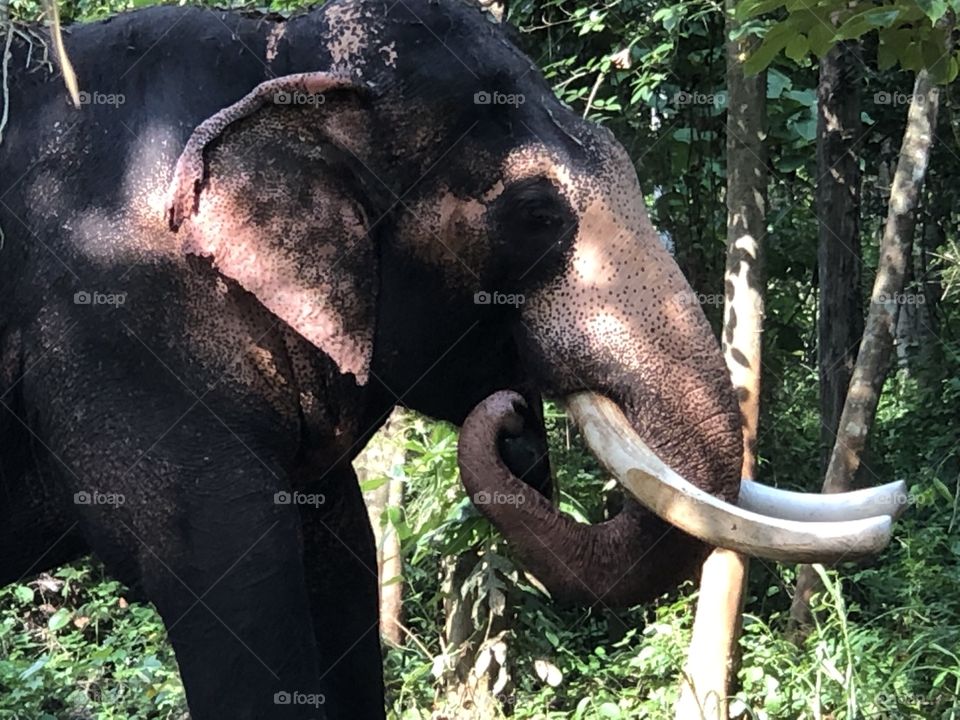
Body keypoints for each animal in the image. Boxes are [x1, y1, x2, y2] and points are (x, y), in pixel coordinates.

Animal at [0, 1, 904, 718]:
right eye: (536, 215)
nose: (512, 420)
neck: (276, 51)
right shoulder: (124, 329)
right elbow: (232, 580)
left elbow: (342, 557)